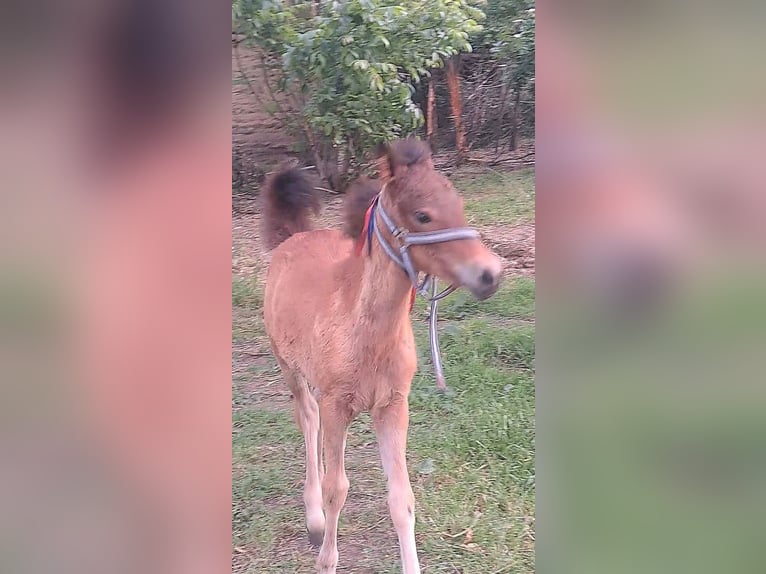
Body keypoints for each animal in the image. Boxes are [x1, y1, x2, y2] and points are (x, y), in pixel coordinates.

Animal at [262, 141, 504, 574]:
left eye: (459, 204)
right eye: (423, 215)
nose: (491, 274)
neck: (369, 334)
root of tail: (296, 235)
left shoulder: (392, 405)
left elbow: (401, 497)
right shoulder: (338, 405)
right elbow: (336, 489)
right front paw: (327, 560)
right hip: (289, 367)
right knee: (307, 420)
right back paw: (314, 521)